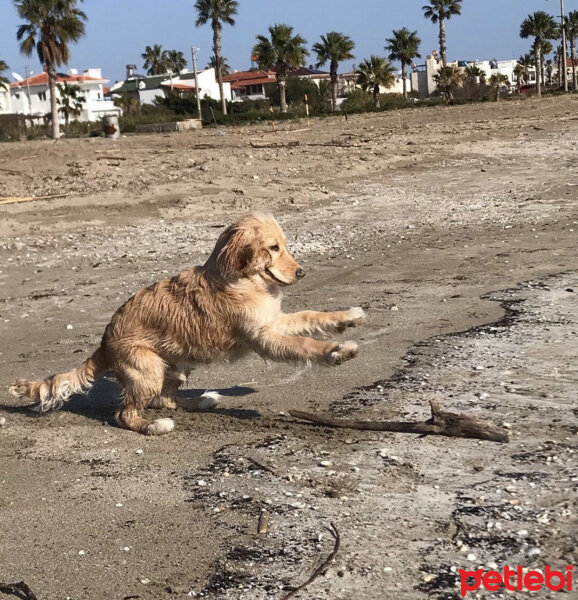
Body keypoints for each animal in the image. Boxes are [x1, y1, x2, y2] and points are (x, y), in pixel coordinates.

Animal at [10, 213, 364, 434]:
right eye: (273, 248)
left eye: (285, 246)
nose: (302, 272)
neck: (242, 278)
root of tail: (104, 343)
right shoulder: (264, 337)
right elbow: (306, 343)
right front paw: (337, 351)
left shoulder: (274, 319)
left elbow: (311, 316)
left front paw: (347, 317)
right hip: (148, 370)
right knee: (126, 414)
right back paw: (155, 426)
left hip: (178, 365)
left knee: (165, 399)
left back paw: (201, 401)